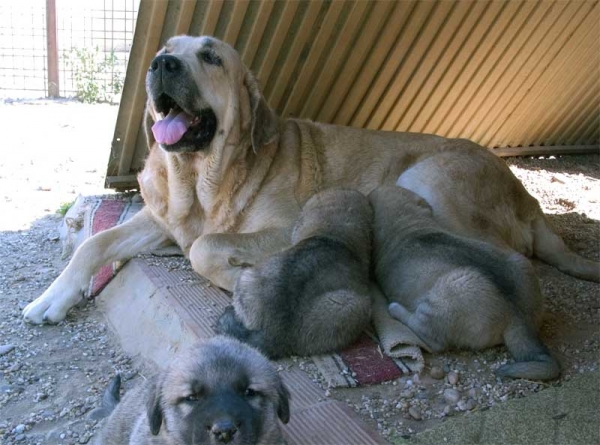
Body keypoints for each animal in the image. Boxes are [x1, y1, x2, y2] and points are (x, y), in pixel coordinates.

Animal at [22, 34, 596, 322]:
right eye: (167, 48)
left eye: (209, 56)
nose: (160, 64)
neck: (206, 178)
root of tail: (526, 195)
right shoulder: (162, 219)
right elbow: (94, 244)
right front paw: (53, 297)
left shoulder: (284, 229)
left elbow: (206, 248)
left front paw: (241, 279)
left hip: (427, 180)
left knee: (509, 261)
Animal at [370, 186, 564, 380]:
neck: (407, 222)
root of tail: (520, 317)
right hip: (520, 262)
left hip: (445, 299)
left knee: (431, 339)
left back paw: (395, 309)